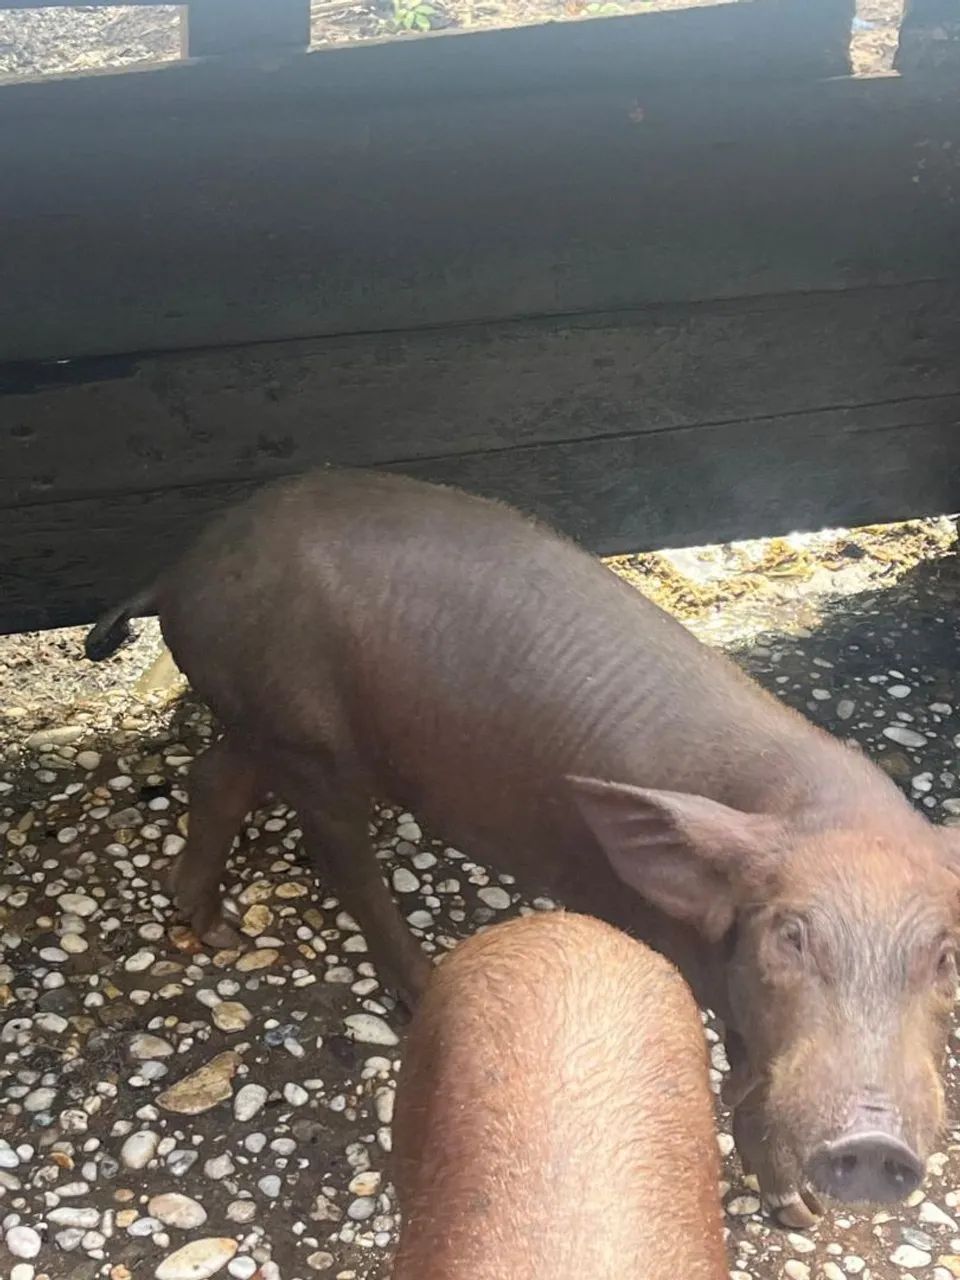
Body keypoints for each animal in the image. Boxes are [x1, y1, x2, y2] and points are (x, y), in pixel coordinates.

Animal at [85, 467, 960, 1226]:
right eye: (791, 935)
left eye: (946, 955)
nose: (876, 1140)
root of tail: (183, 570)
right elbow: (746, 1082)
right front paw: (798, 1215)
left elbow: (757, 1081)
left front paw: (802, 1215)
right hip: (309, 737)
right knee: (337, 853)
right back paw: (414, 980)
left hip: (262, 718)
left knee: (215, 775)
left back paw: (213, 930)